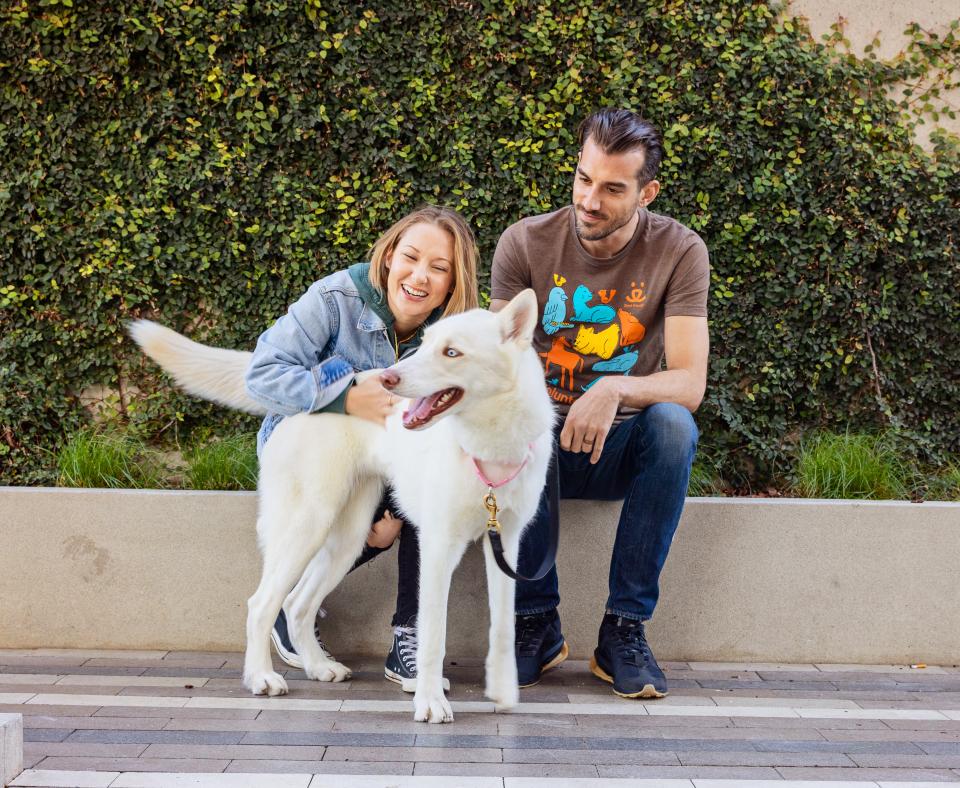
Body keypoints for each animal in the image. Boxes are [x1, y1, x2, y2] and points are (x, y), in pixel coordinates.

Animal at [130, 292, 552, 724]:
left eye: (452, 352)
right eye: (427, 343)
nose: (389, 379)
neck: (488, 446)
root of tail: (313, 390)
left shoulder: (506, 544)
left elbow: (502, 626)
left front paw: (503, 690)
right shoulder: (438, 546)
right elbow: (434, 633)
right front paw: (431, 701)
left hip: (346, 540)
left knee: (297, 604)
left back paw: (318, 667)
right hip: (308, 526)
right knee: (262, 603)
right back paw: (262, 677)